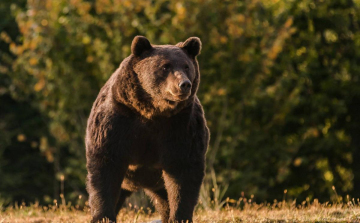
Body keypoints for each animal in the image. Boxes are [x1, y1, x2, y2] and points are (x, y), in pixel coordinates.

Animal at [85, 35, 208, 222]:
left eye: (187, 66)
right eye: (165, 66)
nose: (184, 84)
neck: (153, 111)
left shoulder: (182, 127)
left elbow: (184, 172)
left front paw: (180, 216)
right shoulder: (116, 121)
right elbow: (104, 166)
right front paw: (102, 216)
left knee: (164, 199)